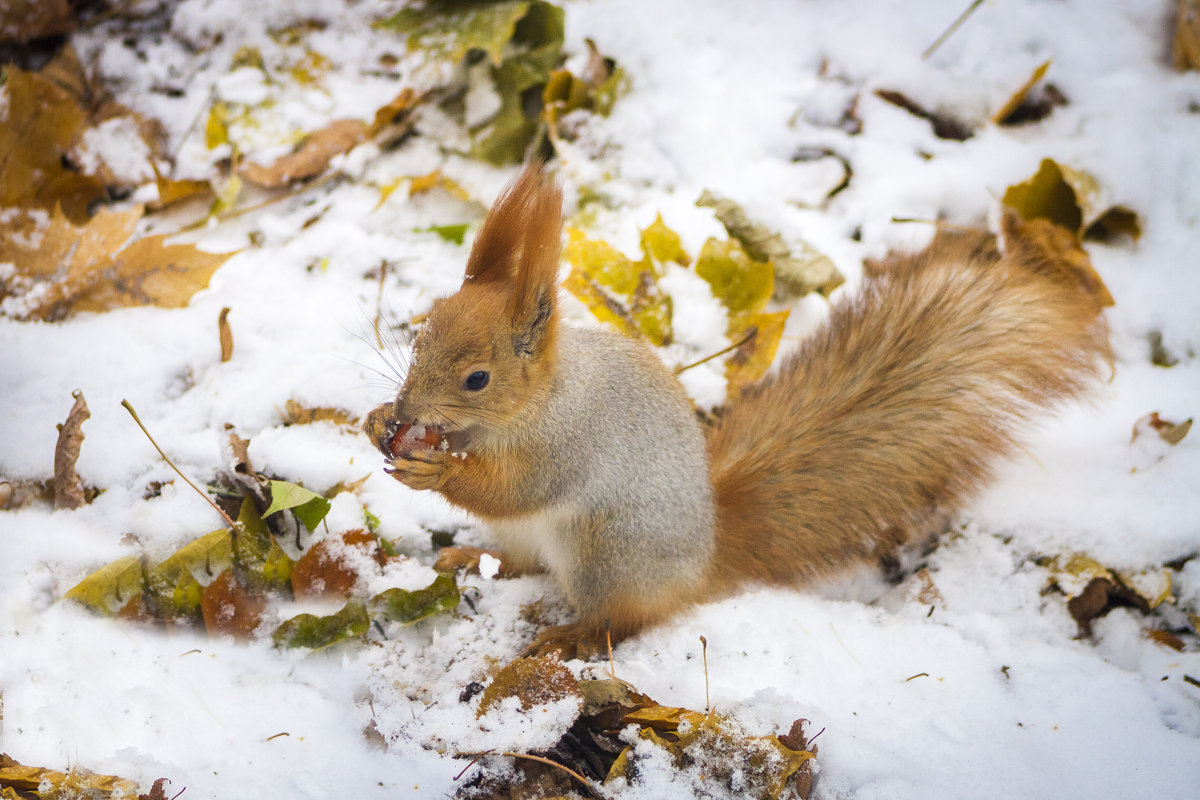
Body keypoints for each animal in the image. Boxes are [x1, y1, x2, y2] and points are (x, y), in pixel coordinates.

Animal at [360, 163, 1108, 657]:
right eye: (421, 332)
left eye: (477, 379)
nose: (407, 408)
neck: (534, 403)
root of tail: (704, 558)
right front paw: (376, 421)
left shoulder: (569, 442)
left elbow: (516, 487)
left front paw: (437, 471)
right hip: (544, 546)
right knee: (523, 562)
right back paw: (471, 559)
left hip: (607, 553)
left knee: (624, 617)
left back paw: (572, 636)